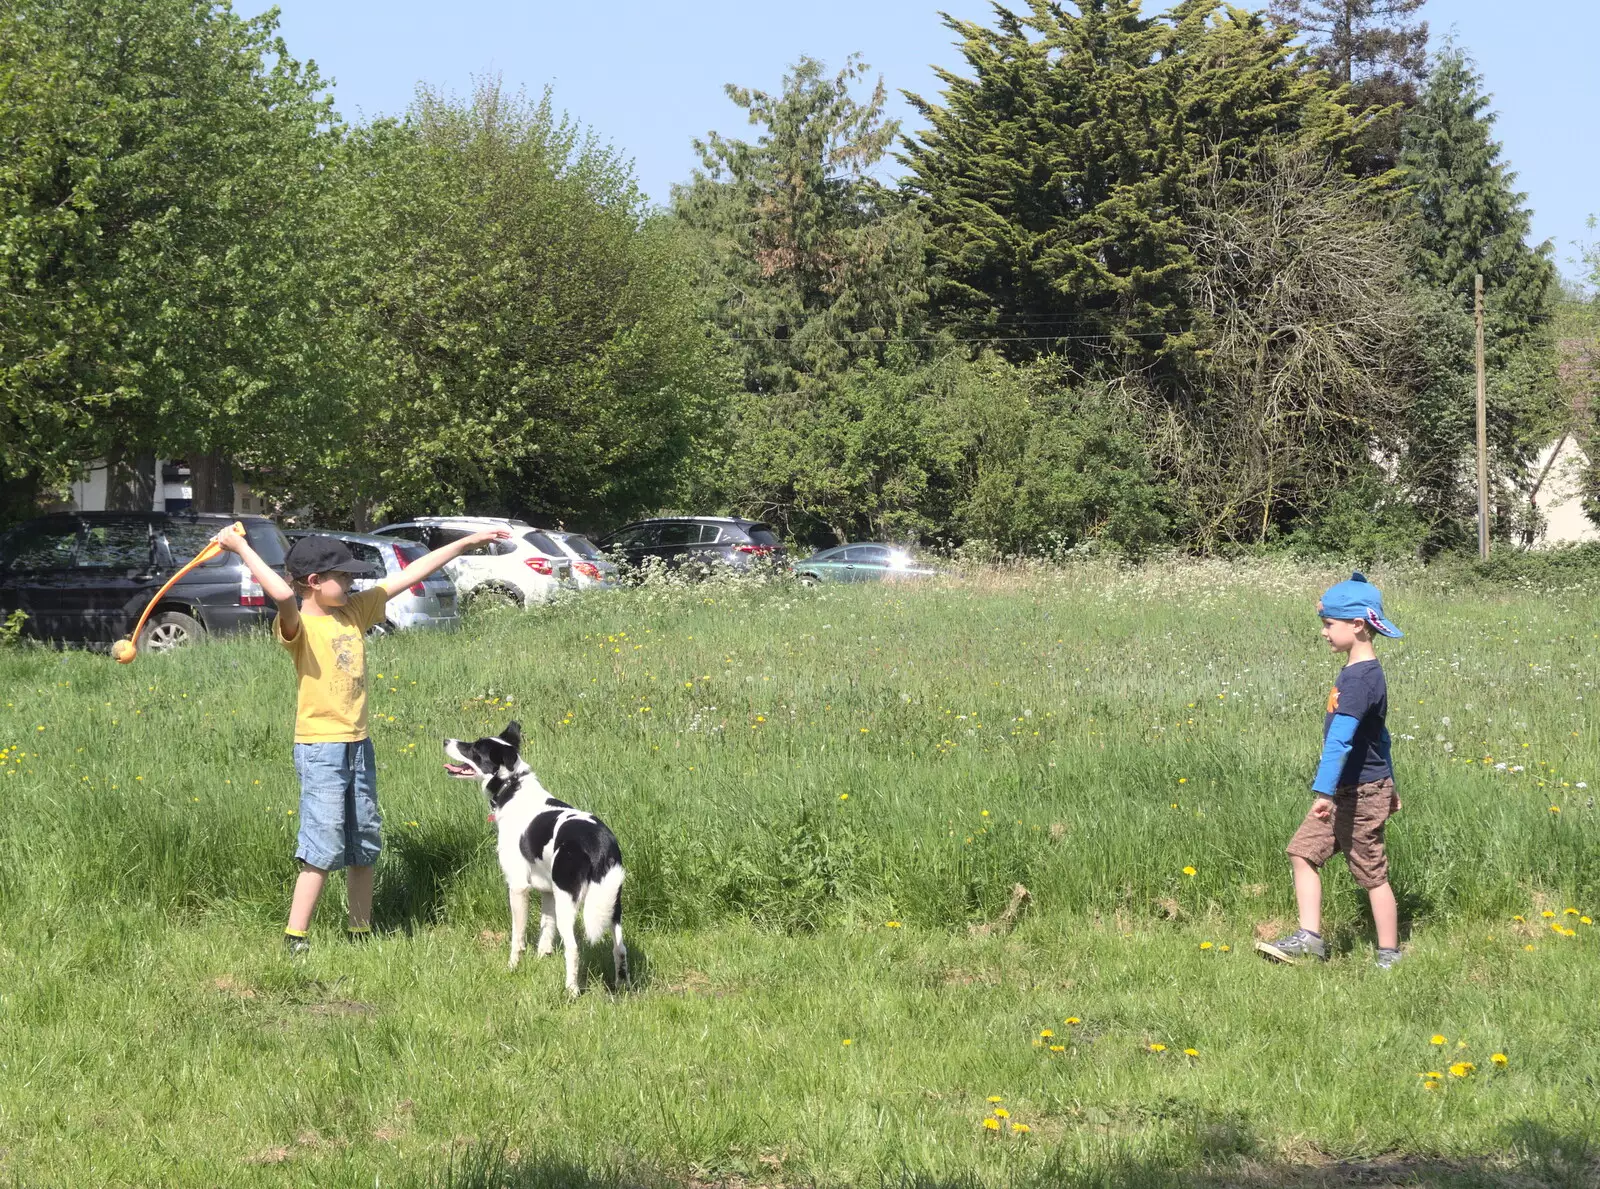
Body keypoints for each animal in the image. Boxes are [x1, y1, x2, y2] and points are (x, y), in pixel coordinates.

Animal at [448, 726, 633, 992]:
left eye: (474, 748)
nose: (446, 740)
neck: (511, 785)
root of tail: (600, 842)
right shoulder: (547, 891)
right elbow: (545, 933)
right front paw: (540, 962)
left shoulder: (518, 887)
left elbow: (518, 937)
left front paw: (513, 968)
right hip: (612, 903)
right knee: (620, 948)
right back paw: (622, 986)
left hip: (568, 902)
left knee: (573, 948)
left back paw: (571, 990)